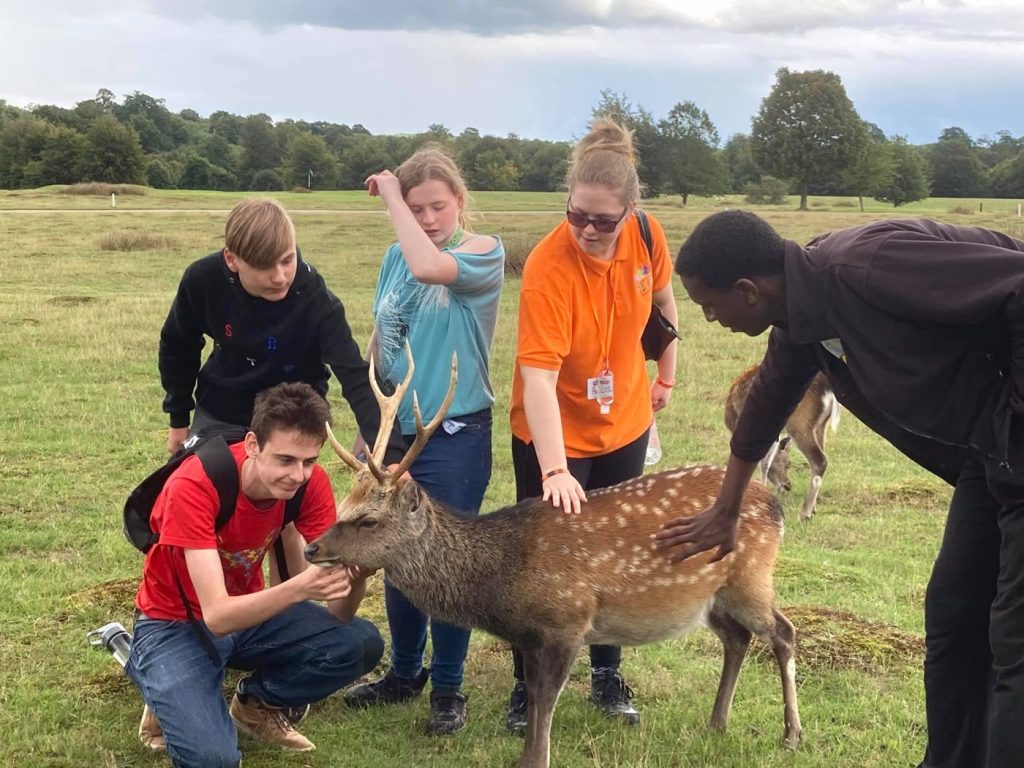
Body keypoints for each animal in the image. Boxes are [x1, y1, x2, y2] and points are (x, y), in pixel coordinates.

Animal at [305, 347, 802, 768]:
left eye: (368, 520)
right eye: (343, 506)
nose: (312, 548)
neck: (502, 579)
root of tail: (774, 508)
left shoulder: (568, 620)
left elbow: (546, 698)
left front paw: (535, 760)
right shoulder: (530, 635)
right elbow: (532, 693)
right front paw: (526, 754)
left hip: (750, 577)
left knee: (782, 631)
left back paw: (790, 733)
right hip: (712, 597)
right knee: (738, 638)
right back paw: (717, 722)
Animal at [725, 365, 840, 521]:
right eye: (787, 463)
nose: (787, 485)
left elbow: (763, 462)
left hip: (799, 423)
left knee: (820, 460)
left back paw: (805, 513)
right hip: (821, 425)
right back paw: (814, 509)